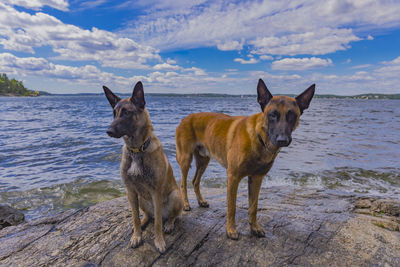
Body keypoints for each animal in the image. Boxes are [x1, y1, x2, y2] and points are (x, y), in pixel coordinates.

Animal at [104, 82, 184, 254]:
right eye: (114, 113)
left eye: (126, 113)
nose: (109, 131)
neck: (137, 150)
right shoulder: (131, 191)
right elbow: (134, 217)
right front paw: (137, 236)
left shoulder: (156, 192)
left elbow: (158, 223)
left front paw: (159, 241)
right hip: (140, 198)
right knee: (148, 215)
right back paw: (144, 222)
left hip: (176, 195)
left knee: (170, 216)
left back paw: (169, 223)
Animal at [177, 79, 314, 241]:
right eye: (272, 115)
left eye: (292, 115)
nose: (282, 140)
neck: (259, 138)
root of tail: (185, 118)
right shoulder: (233, 177)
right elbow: (232, 207)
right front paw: (231, 230)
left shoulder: (256, 178)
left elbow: (253, 207)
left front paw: (254, 228)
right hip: (185, 159)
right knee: (183, 183)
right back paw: (186, 204)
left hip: (204, 161)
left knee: (195, 181)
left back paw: (201, 201)